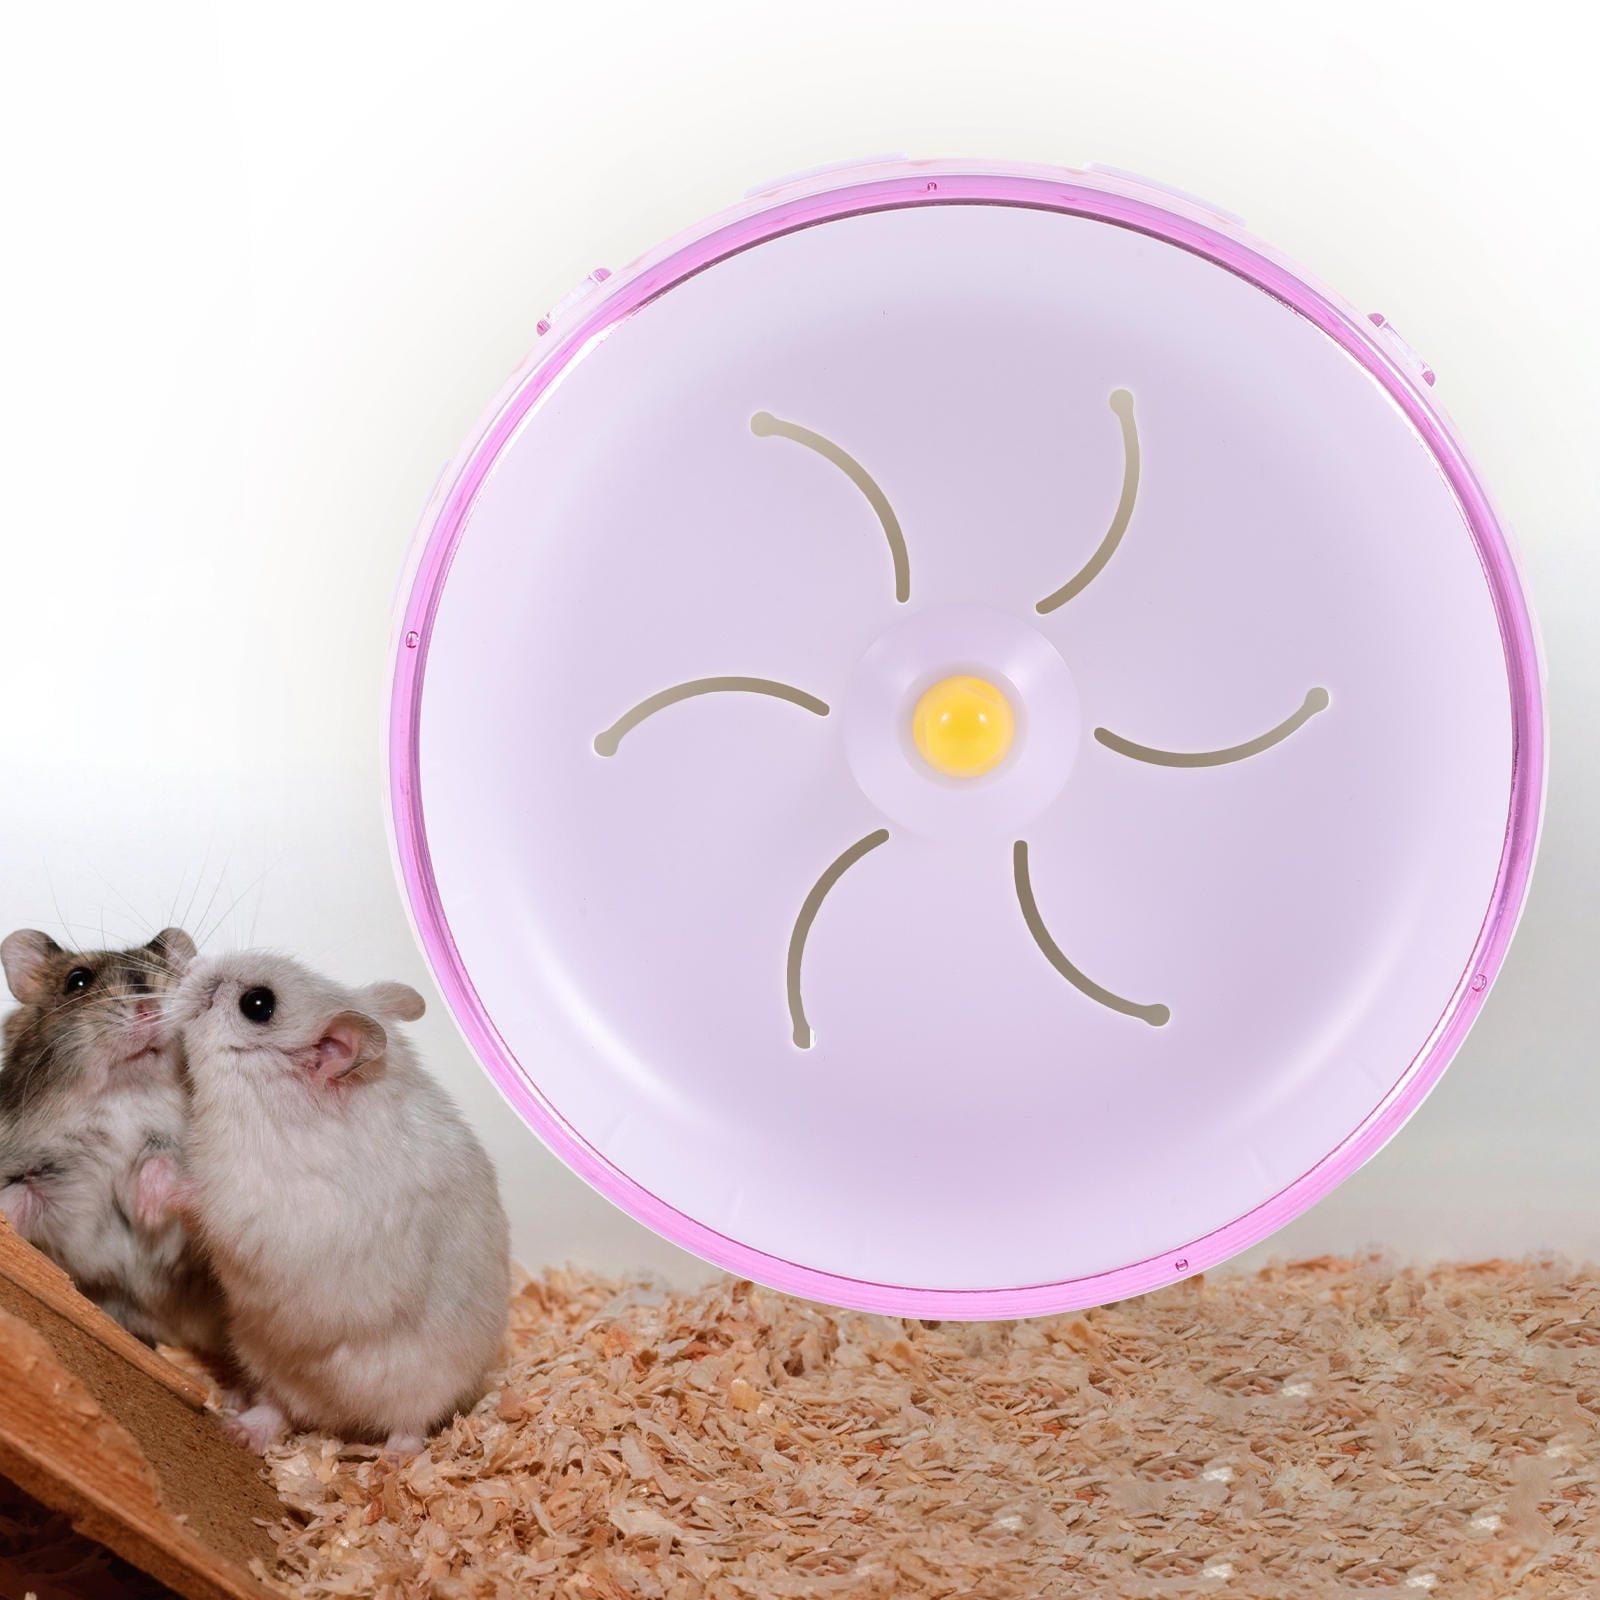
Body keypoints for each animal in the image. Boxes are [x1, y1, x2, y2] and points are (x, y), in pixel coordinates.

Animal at [0, 927, 227, 1355]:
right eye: (77, 981)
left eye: (169, 974)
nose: (150, 1008)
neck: (124, 1098)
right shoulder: (47, 1180)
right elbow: (20, 1197)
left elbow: (164, 1161)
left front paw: (149, 1209)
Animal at [163, 950, 511, 1455]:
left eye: (258, 1004)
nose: (190, 966)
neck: (269, 1099)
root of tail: (338, 1416)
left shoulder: (256, 1206)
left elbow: (200, 1201)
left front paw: (152, 1181)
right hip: (263, 1353)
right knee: (276, 1406)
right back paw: (240, 1428)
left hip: (423, 1381)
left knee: (410, 1424)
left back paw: (393, 1464)